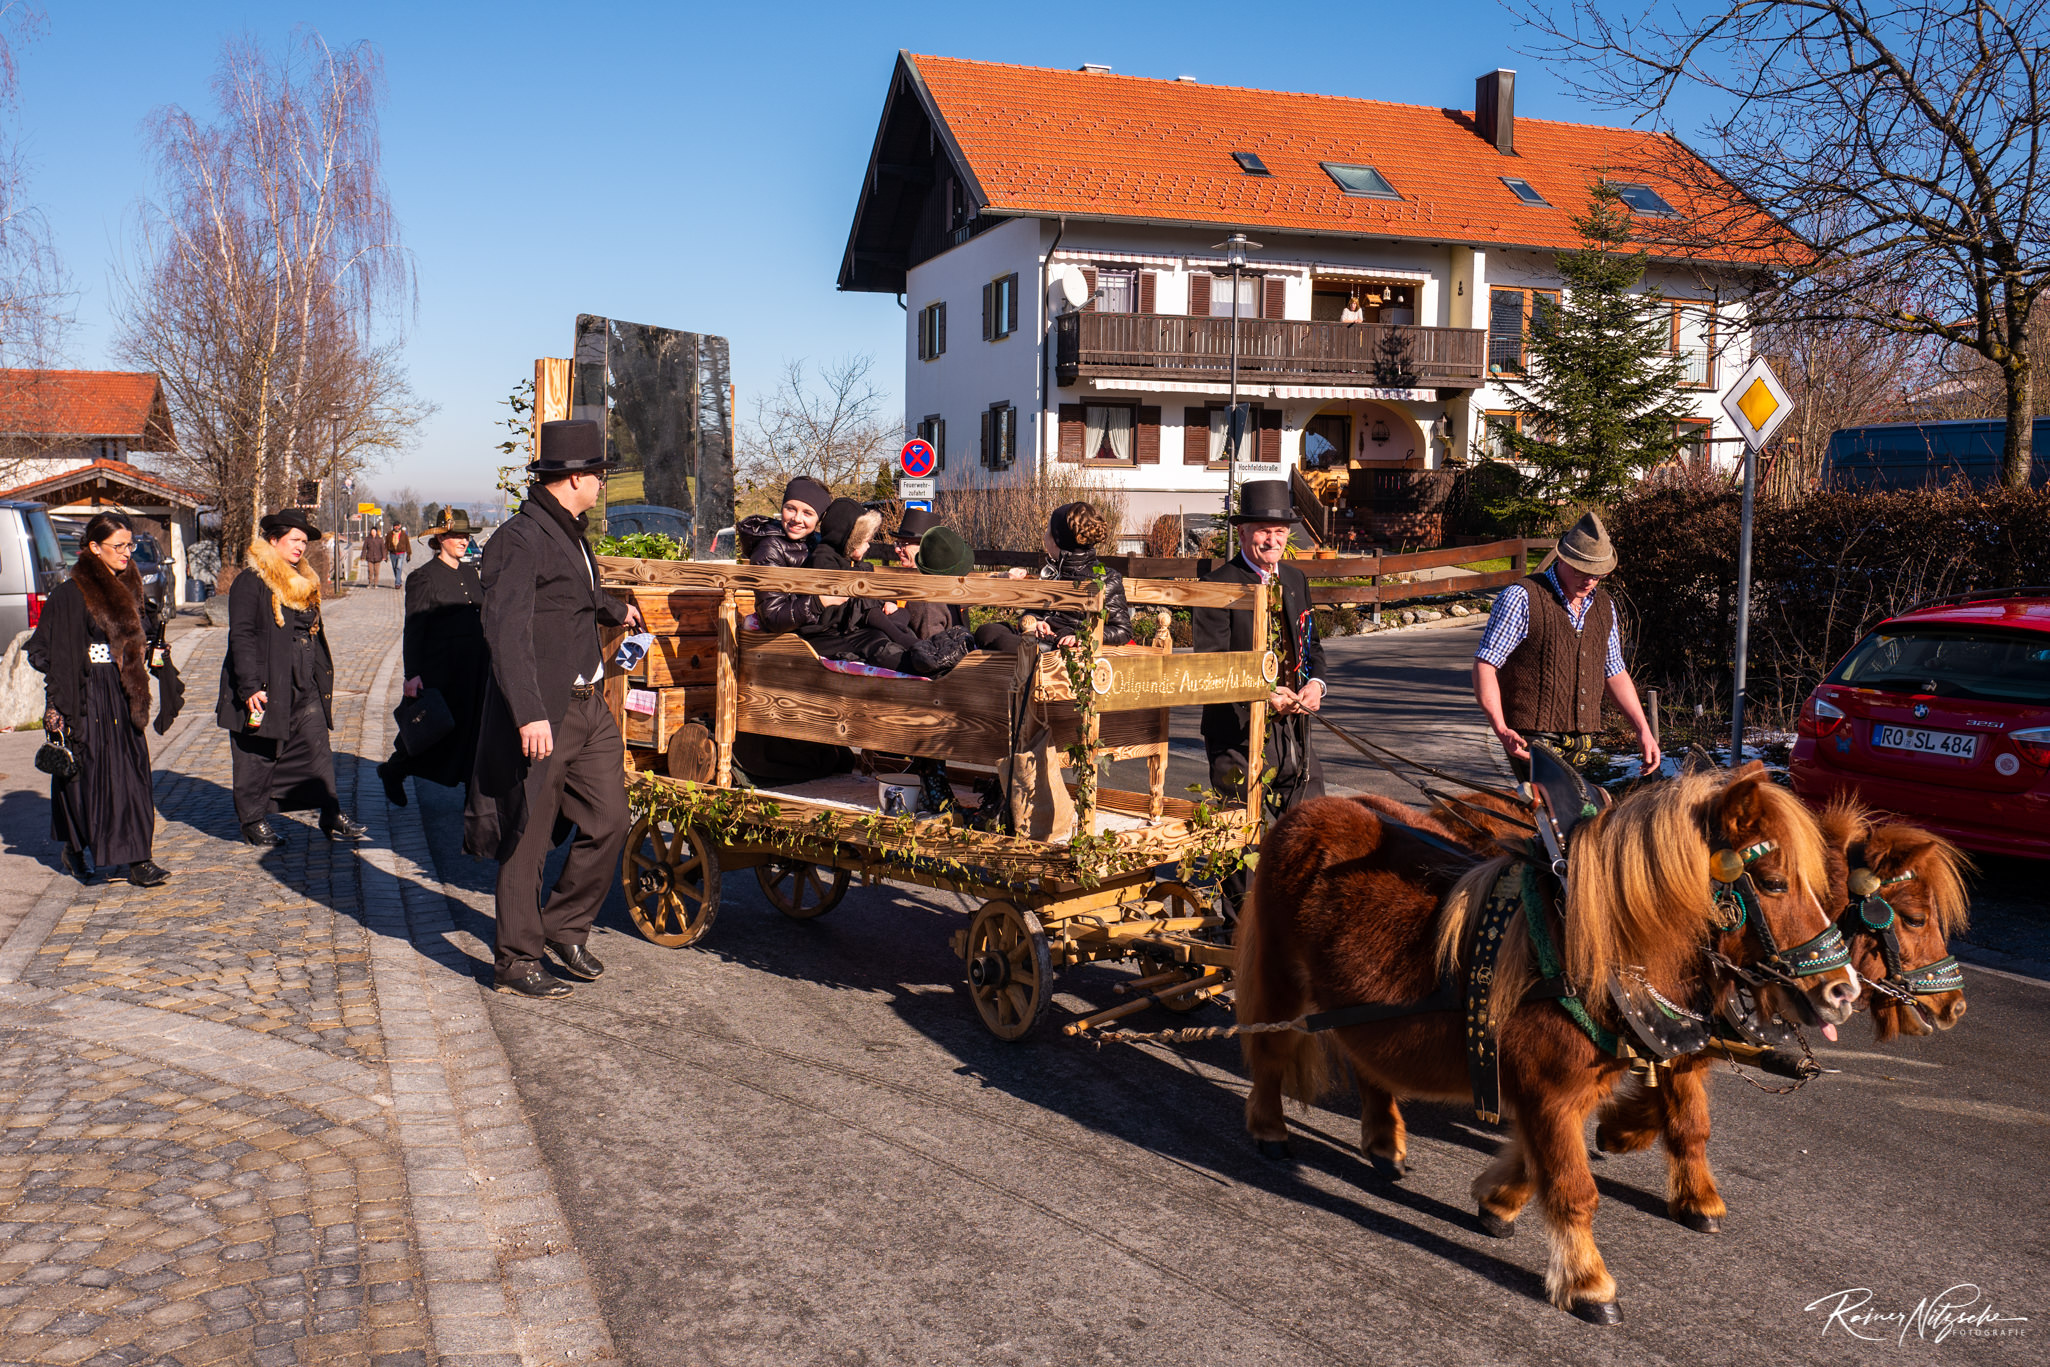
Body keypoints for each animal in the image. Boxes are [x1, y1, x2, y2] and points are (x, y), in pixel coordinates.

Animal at [1235, 764, 1858, 1323]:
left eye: (1837, 899)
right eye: (1774, 882)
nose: (1843, 991)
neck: (1586, 952)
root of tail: (1309, 806)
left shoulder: (1574, 1088)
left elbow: (1567, 1157)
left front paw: (1498, 1201)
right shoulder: (1550, 1093)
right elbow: (1573, 1187)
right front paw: (1588, 1284)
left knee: (1369, 1063)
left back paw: (1385, 1142)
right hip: (1279, 981)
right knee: (1268, 1054)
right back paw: (1269, 1130)